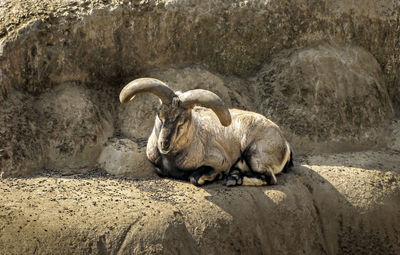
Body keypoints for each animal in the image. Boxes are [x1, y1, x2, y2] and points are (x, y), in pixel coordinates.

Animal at [120, 77, 292, 185]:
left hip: (254, 153)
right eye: (159, 115)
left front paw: (218, 175)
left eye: (182, 121)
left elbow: (195, 177)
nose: (164, 144)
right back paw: (234, 176)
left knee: (269, 178)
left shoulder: (219, 160)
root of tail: (285, 144)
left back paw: (233, 179)